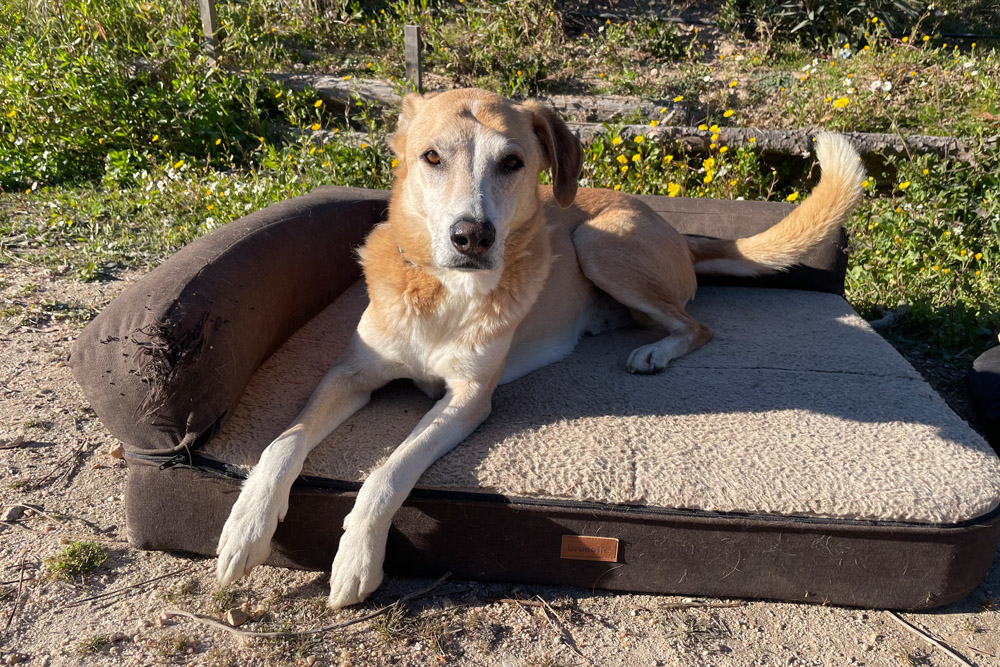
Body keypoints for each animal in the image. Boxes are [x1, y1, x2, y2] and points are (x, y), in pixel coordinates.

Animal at [213, 88, 868, 612]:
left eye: (512, 163)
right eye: (431, 157)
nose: (472, 236)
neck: (443, 292)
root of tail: (681, 233)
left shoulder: (468, 400)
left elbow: (387, 472)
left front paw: (356, 559)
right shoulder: (347, 374)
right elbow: (282, 443)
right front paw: (245, 529)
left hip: (599, 244)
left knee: (697, 325)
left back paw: (654, 352)